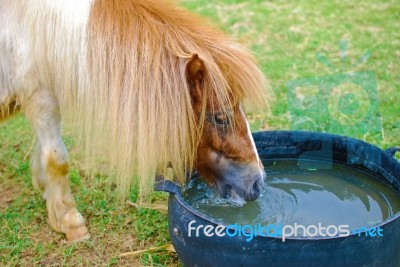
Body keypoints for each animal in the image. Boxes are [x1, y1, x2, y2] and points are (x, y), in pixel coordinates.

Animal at [0, 0, 272, 243]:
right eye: (220, 117)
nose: (258, 182)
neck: (34, 28)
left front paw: (49, 197)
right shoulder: (39, 97)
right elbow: (57, 160)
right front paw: (70, 221)